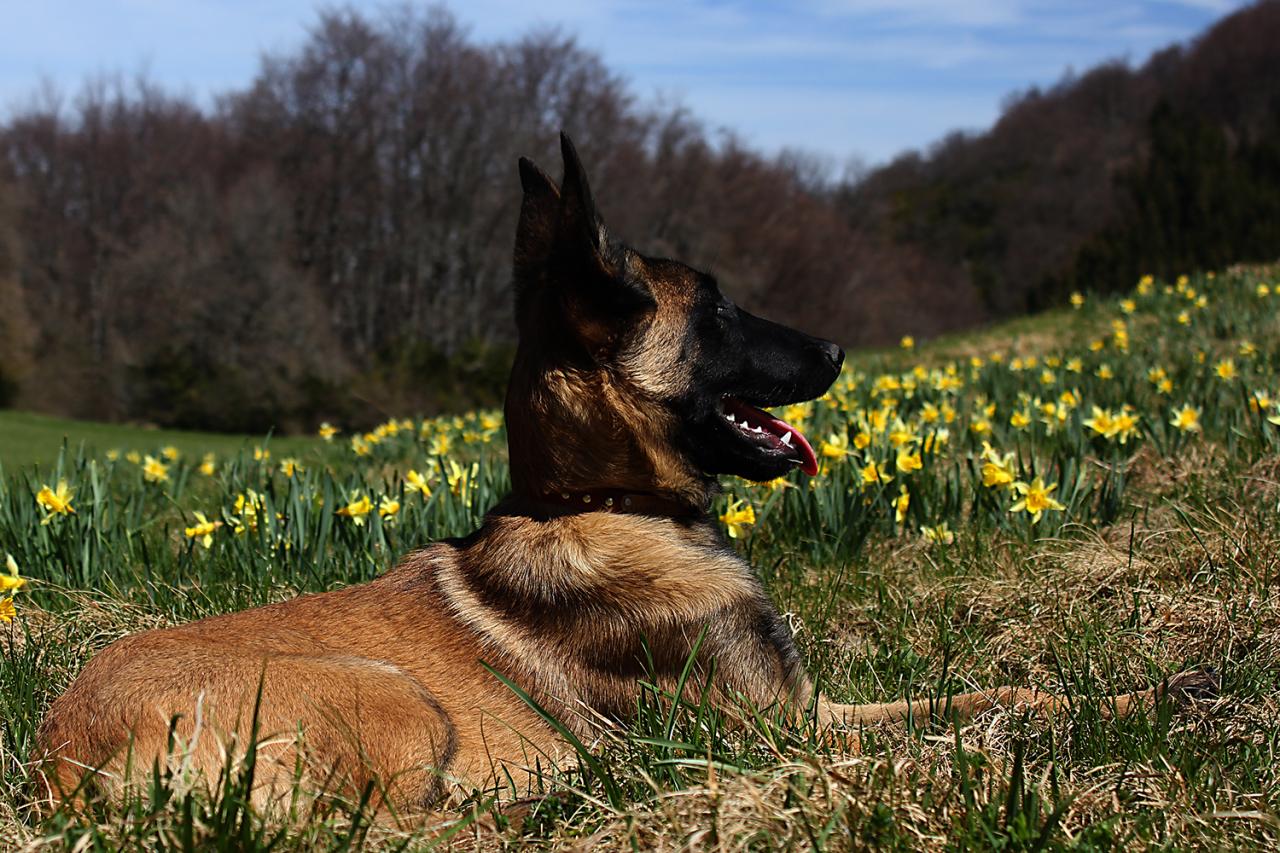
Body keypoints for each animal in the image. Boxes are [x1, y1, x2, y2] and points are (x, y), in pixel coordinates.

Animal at [35, 133, 1213, 819]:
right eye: (721, 309)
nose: (839, 350)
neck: (605, 505)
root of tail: (66, 759)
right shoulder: (777, 734)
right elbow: (932, 733)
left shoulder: (811, 706)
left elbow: (984, 689)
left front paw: (1147, 690)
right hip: (388, 694)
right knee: (390, 826)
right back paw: (562, 796)